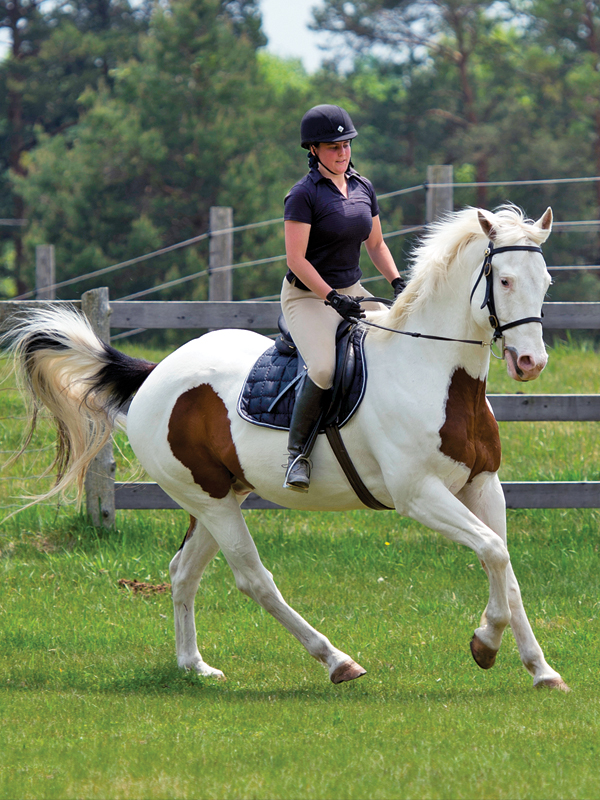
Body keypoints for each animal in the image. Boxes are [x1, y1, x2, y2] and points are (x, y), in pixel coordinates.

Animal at [3, 205, 570, 692]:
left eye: (545, 282)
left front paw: (540, 670)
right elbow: (493, 552)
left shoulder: (483, 485)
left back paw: (194, 666)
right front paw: (485, 643)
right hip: (210, 500)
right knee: (254, 578)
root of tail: (155, 373)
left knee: (183, 572)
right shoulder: (419, 494)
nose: (530, 363)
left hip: (220, 496)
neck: (434, 373)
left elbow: (505, 568)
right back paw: (337, 660)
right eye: (503, 280)